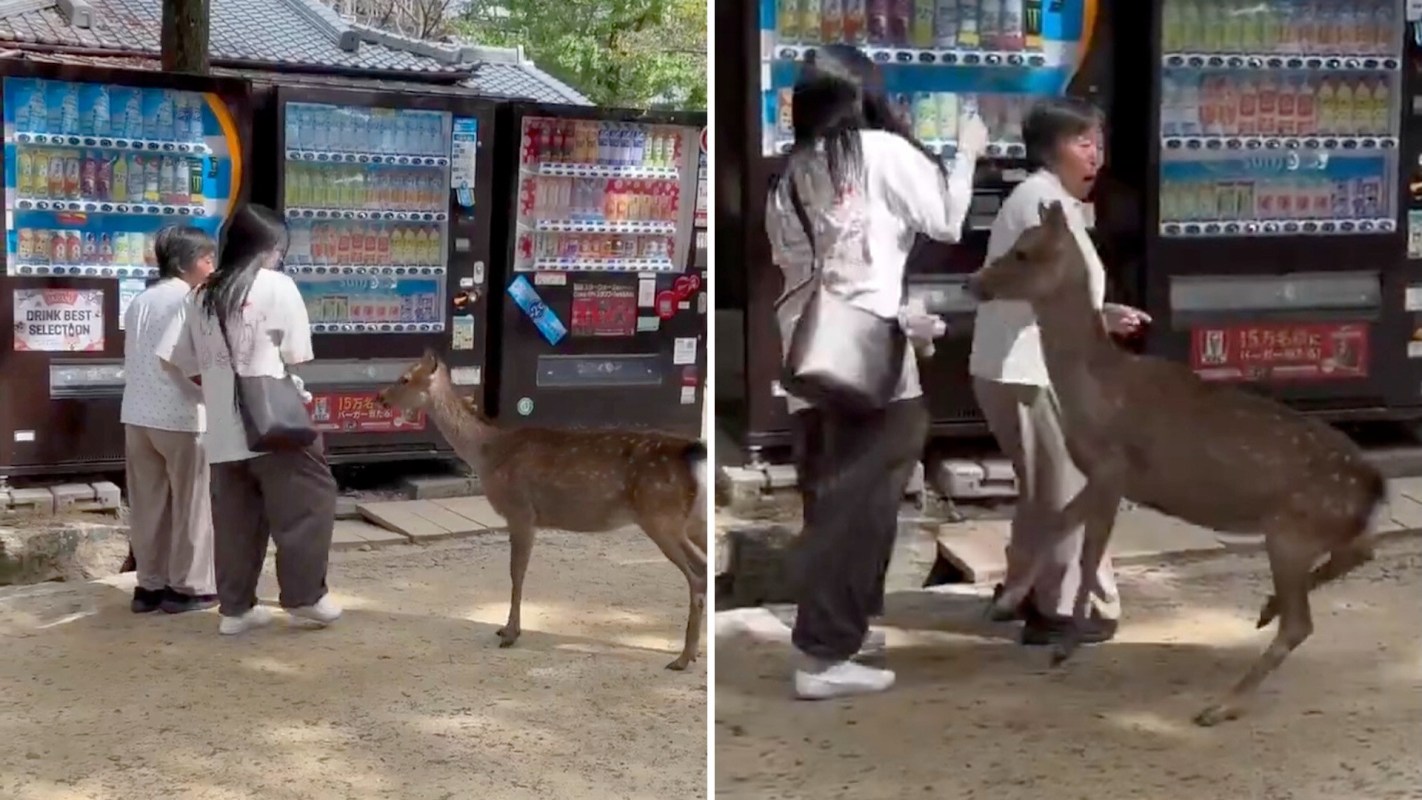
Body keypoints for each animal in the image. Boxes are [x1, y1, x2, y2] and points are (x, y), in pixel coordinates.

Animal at [377, 351, 708, 671]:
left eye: (405, 378)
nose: (380, 397)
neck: (488, 453)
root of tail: (693, 456)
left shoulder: (520, 510)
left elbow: (516, 572)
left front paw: (509, 633)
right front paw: (506, 629)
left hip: (661, 517)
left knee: (698, 573)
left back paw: (683, 658)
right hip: (692, 520)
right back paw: (694, 653)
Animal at [964, 201, 1385, 727]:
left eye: (1023, 251)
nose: (974, 282)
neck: (1094, 390)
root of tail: (1373, 483)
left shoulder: (1114, 466)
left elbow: (1087, 554)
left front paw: (1065, 645)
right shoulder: (1105, 474)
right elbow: (1060, 523)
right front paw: (1009, 601)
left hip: (1291, 530)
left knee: (1301, 622)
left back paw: (1222, 704)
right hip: (1317, 528)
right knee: (1359, 553)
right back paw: (1264, 611)